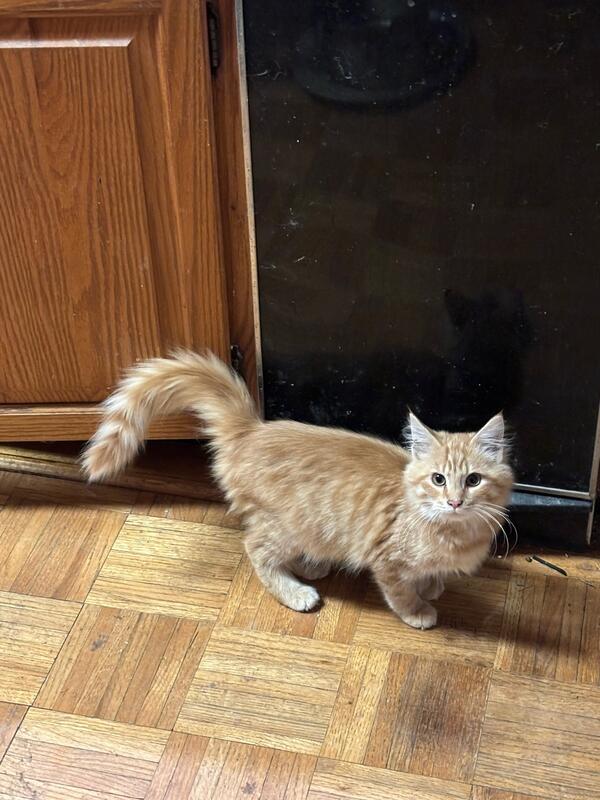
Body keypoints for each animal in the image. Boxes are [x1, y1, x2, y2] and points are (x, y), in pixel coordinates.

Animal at [83, 350, 514, 630]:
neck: (453, 531)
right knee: (256, 551)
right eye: (438, 479)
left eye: (473, 480)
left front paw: (433, 585)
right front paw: (418, 610)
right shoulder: (388, 560)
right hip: (285, 526)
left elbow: (428, 575)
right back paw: (296, 591)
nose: (455, 501)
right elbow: (400, 591)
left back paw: (314, 565)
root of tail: (251, 431)